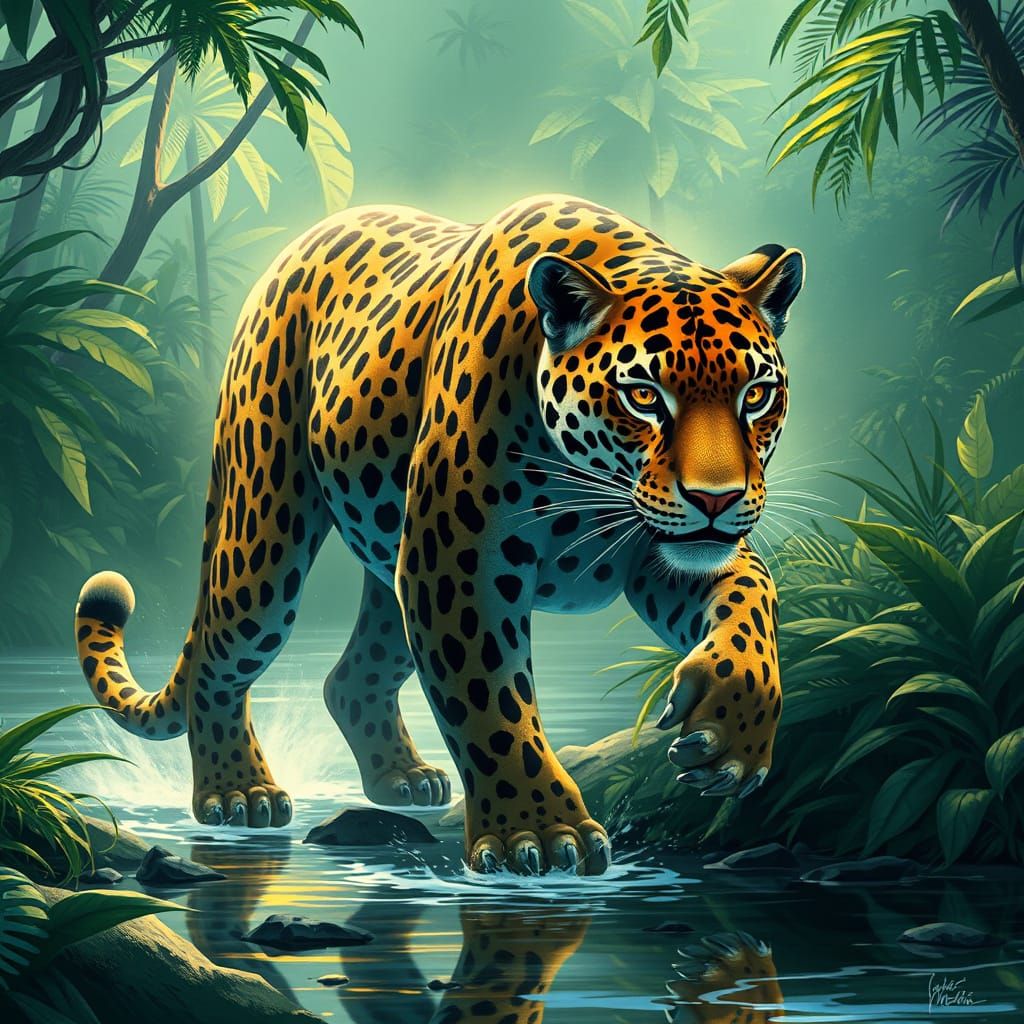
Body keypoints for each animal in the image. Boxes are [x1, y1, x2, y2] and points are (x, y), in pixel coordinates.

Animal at [74, 194, 804, 876]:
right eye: (645, 395)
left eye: (756, 394)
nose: (717, 499)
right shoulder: (458, 566)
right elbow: (490, 702)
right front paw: (537, 833)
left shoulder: (662, 555)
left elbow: (753, 601)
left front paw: (731, 735)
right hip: (264, 542)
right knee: (219, 660)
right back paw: (237, 793)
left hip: (391, 567)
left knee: (352, 675)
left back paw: (403, 779)